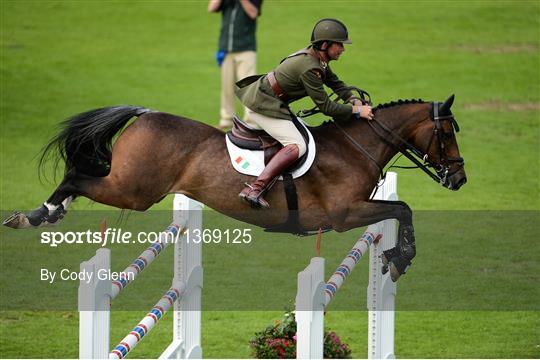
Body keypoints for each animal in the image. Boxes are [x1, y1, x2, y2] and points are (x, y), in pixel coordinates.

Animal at [2, 95, 466, 282]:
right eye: (447, 134)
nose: (459, 179)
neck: (355, 147)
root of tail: (146, 113)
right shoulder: (343, 214)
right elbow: (402, 208)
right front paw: (400, 258)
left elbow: (401, 208)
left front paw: (396, 257)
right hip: (134, 190)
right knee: (76, 177)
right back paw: (37, 215)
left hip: (133, 187)